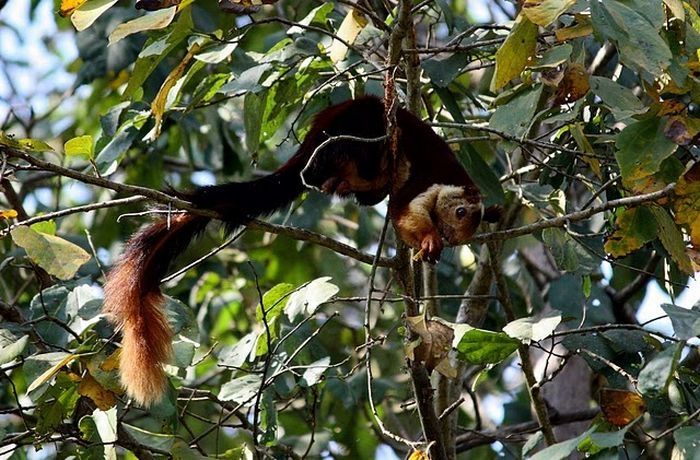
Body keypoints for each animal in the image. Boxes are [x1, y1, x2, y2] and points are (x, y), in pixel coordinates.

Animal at [102, 97, 486, 406]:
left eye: (461, 233)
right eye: (460, 213)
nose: (449, 233)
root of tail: (314, 135)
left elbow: (402, 215)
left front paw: (427, 245)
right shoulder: (428, 181)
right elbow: (408, 212)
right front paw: (428, 240)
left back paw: (343, 182)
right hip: (354, 128)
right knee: (358, 150)